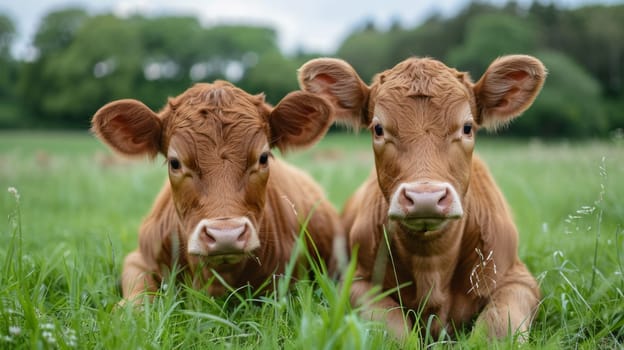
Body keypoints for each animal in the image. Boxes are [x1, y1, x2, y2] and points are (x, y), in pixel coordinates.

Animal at [298, 55, 544, 340]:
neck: (432, 265)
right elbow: (396, 329)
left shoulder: (519, 280)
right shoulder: (355, 284)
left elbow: (498, 327)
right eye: (378, 129)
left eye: (467, 127)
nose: (425, 197)